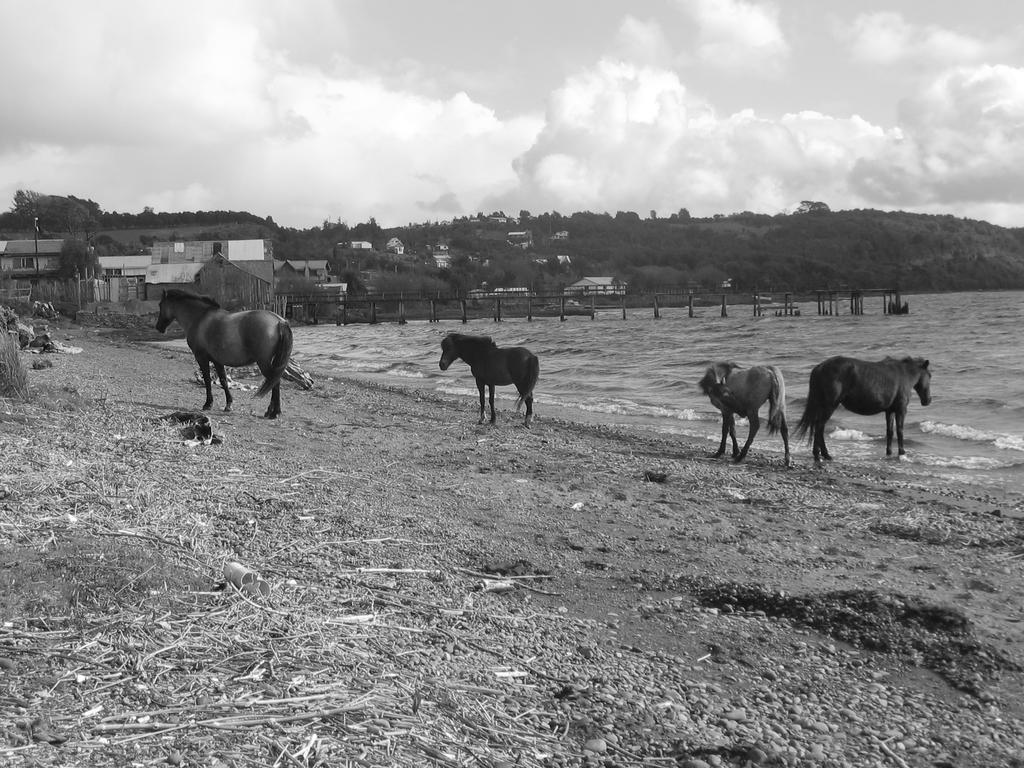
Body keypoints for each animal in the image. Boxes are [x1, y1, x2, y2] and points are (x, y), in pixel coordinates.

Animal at [155, 290, 294, 421]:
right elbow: (223, 381)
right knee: (273, 381)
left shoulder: (201, 358)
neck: (199, 318)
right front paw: (228, 405)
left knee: (275, 382)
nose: (158, 327)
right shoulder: (217, 360)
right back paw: (269, 411)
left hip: (263, 362)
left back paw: (275, 413)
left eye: (160, 304)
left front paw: (208, 404)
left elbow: (207, 380)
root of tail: (279, 321)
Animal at [794, 356, 933, 462]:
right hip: (829, 406)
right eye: (930, 376)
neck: (904, 374)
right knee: (819, 428)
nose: (928, 400)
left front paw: (888, 453)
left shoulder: (889, 411)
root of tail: (819, 367)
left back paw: (822, 455)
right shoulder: (901, 410)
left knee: (818, 428)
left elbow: (889, 432)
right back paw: (822, 455)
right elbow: (900, 431)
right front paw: (902, 453)